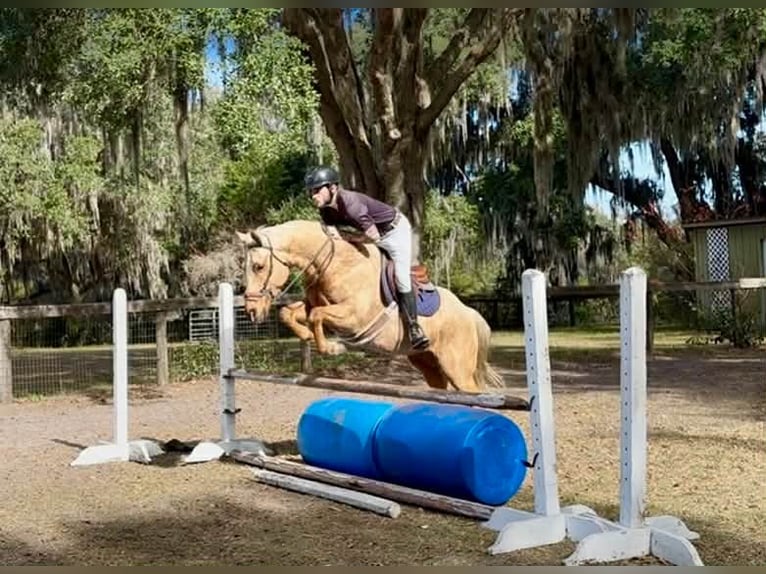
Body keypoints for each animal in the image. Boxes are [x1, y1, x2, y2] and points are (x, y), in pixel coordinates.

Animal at [235, 219, 505, 393]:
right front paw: (307, 336)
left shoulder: (353, 318)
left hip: (458, 368)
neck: (334, 263)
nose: (252, 311)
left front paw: (333, 348)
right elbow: (288, 313)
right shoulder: (313, 305)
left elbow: (317, 316)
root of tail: (469, 313)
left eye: (258, 266)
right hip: (429, 365)